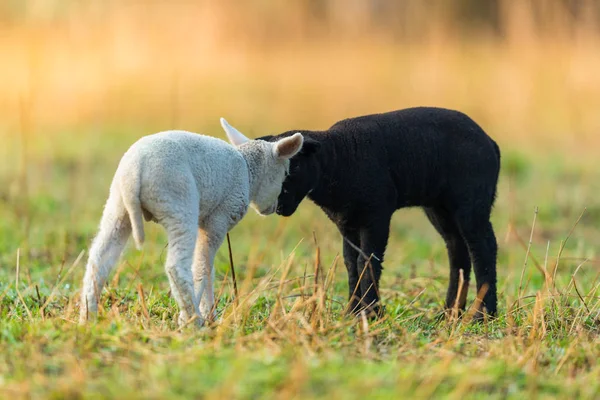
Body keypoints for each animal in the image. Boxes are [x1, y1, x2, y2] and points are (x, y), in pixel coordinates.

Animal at [79, 119, 304, 328]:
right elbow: (203, 267)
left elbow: (205, 268)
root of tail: (135, 170)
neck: (249, 172)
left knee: (99, 259)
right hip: (179, 204)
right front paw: (206, 315)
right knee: (176, 266)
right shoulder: (218, 219)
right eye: (285, 174)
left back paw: (87, 318)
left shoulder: (205, 222)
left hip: (118, 207)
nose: (275, 208)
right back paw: (192, 320)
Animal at [260, 106, 500, 318]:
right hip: (440, 207)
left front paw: (369, 313)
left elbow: (367, 262)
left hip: (471, 200)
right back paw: (450, 313)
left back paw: (483, 315)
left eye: (294, 167)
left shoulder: (376, 216)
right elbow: (351, 263)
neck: (339, 161)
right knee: (457, 250)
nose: (276, 206)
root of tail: (492, 143)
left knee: (483, 248)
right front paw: (352, 312)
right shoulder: (347, 222)